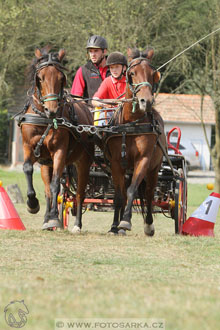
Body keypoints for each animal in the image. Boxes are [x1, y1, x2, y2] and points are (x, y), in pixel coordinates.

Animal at [19, 47, 93, 231]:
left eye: (61, 78)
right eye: (40, 78)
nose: (51, 110)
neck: (44, 119)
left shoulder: (59, 151)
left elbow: (55, 184)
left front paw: (54, 217)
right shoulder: (28, 147)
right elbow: (28, 169)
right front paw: (33, 204)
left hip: (83, 162)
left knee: (79, 193)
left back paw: (76, 225)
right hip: (47, 164)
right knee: (47, 191)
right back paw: (46, 219)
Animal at [104, 47, 165, 236]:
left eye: (153, 74)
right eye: (132, 73)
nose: (147, 101)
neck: (131, 123)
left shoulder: (143, 160)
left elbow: (132, 191)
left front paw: (125, 221)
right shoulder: (116, 163)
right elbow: (118, 196)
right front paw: (115, 226)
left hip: (154, 168)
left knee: (149, 193)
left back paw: (149, 225)